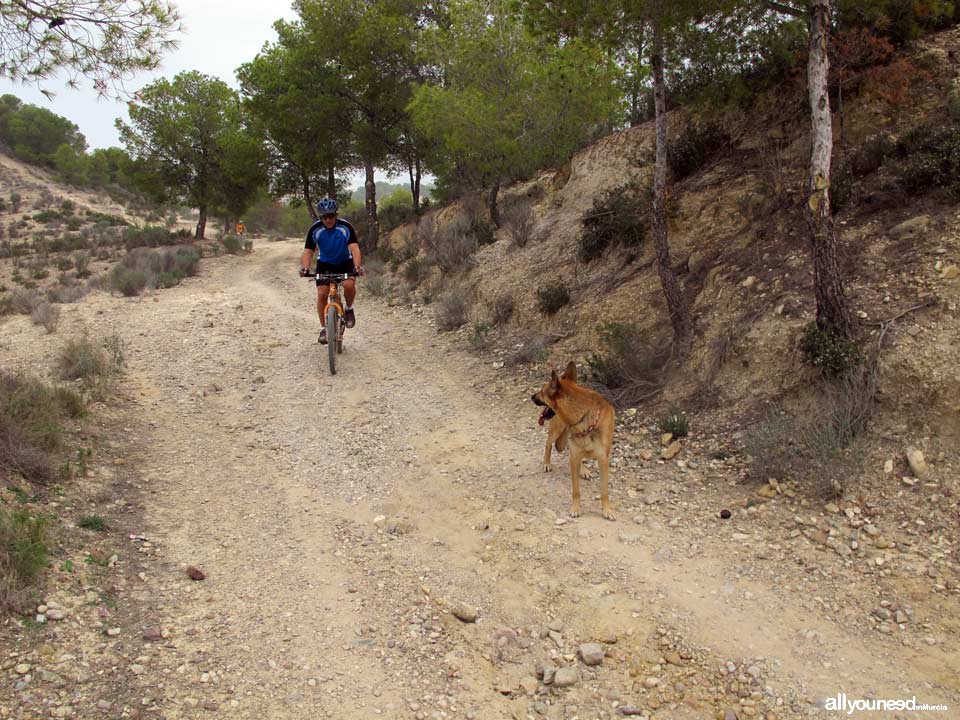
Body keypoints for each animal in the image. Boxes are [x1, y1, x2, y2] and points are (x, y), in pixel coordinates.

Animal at [532, 362, 616, 520]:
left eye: (542, 391)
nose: (531, 396)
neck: (583, 417)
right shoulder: (575, 454)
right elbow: (576, 490)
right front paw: (575, 508)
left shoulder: (603, 460)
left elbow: (604, 491)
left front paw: (607, 510)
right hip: (557, 432)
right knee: (548, 444)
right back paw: (547, 463)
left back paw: (583, 470)